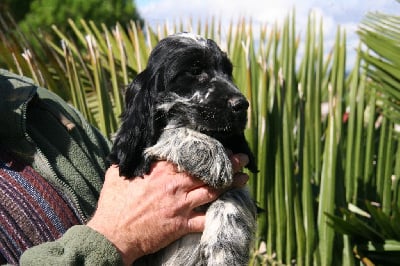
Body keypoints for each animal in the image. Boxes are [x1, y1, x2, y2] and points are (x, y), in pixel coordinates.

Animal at [108, 32, 258, 266]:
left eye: (228, 72)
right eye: (194, 71)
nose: (241, 105)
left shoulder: (238, 178)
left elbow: (232, 196)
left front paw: (224, 248)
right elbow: (169, 132)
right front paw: (211, 154)